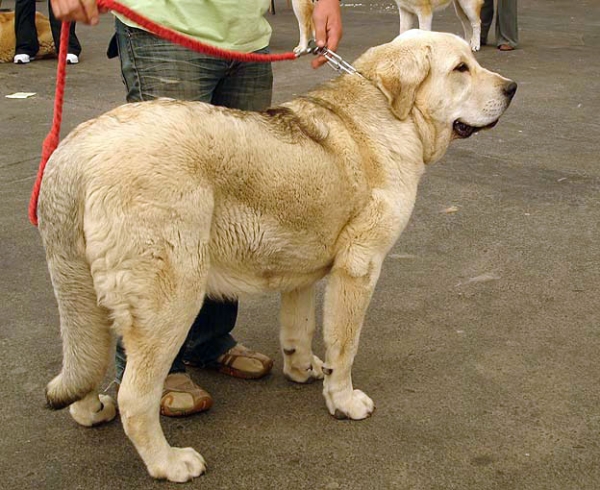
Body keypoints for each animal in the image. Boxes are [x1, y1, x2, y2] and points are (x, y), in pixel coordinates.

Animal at [38, 30, 516, 482]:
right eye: (461, 69)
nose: (512, 88)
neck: (388, 110)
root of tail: (73, 154)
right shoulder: (359, 267)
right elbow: (345, 346)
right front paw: (343, 400)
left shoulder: (299, 268)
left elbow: (300, 329)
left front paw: (303, 369)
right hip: (171, 301)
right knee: (135, 397)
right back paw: (168, 462)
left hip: (87, 297)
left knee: (87, 361)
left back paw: (91, 411)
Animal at [292, 0, 486, 51]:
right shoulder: (405, 10)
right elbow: (403, 31)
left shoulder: (424, 12)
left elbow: (424, 32)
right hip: (459, 7)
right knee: (467, 25)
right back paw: (467, 43)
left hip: (467, 5)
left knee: (476, 23)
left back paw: (475, 44)